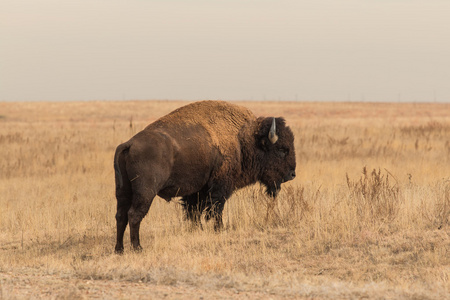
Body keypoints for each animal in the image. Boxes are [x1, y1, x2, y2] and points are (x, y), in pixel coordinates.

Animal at [113, 101, 296, 253]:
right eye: (282, 149)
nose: (292, 174)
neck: (243, 139)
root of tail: (129, 143)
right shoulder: (220, 187)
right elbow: (215, 210)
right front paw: (219, 229)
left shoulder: (197, 190)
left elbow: (194, 211)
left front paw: (197, 230)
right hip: (145, 192)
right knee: (134, 215)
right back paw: (137, 248)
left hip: (123, 192)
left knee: (121, 216)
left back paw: (119, 249)